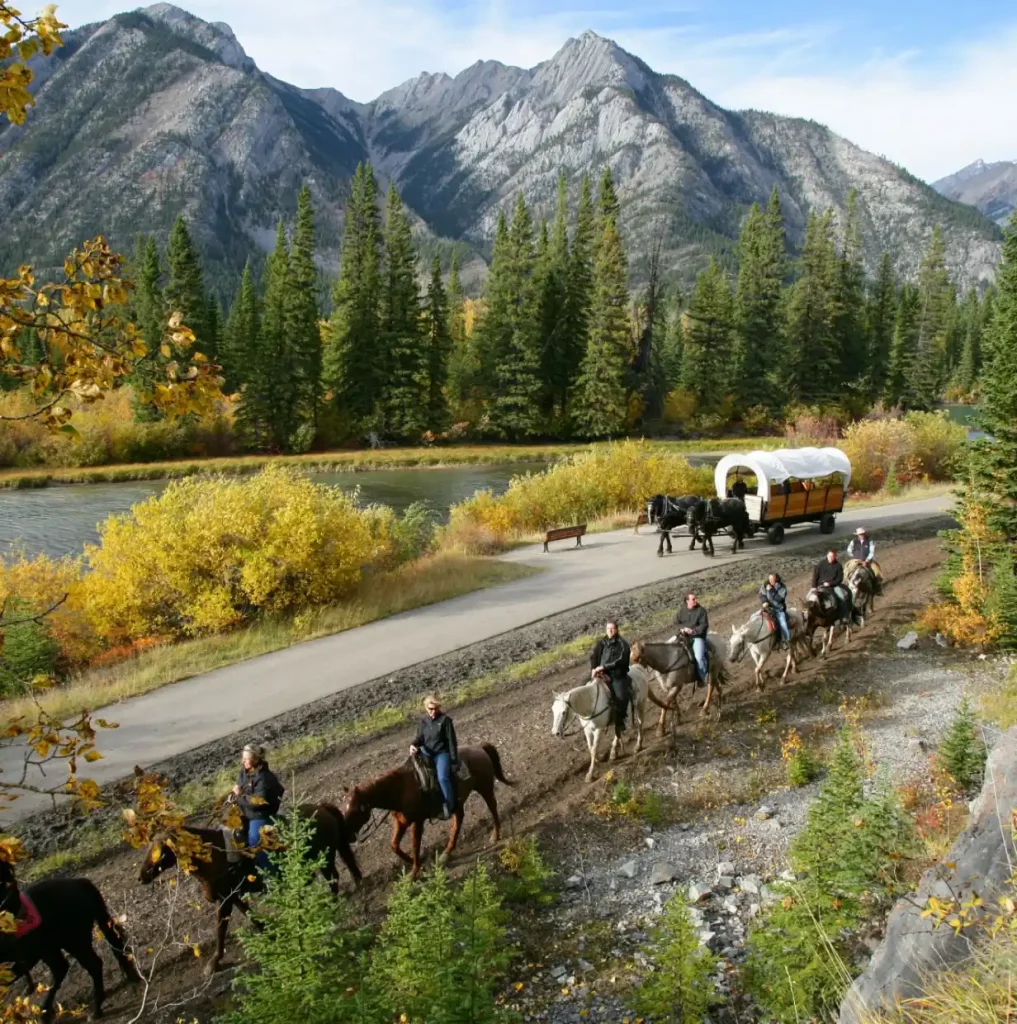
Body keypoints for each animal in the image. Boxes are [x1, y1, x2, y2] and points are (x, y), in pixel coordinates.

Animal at [138, 798, 360, 974]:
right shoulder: (232, 895)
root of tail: (322, 808)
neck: (215, 855)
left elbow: (221, 927)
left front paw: (214, 963)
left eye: (160, 848)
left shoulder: (225, 899)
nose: (141, 877)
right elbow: (249, 915)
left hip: (325, 859)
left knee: (334, 878)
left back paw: (331, 905)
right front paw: (271, 933)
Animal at [344, 745, 516, 880]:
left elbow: (415, 845)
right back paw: (447, 852)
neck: (400, 789)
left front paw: (414, 872)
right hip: (458, 801)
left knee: (493, 808)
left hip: (485, 788)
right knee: (458, 819)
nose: (349, 837)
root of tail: (479, 748)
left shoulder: (418, 821)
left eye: (355, 810)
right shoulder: (401, 822)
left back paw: (495, 835)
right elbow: (394, 845)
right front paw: (417, 862)